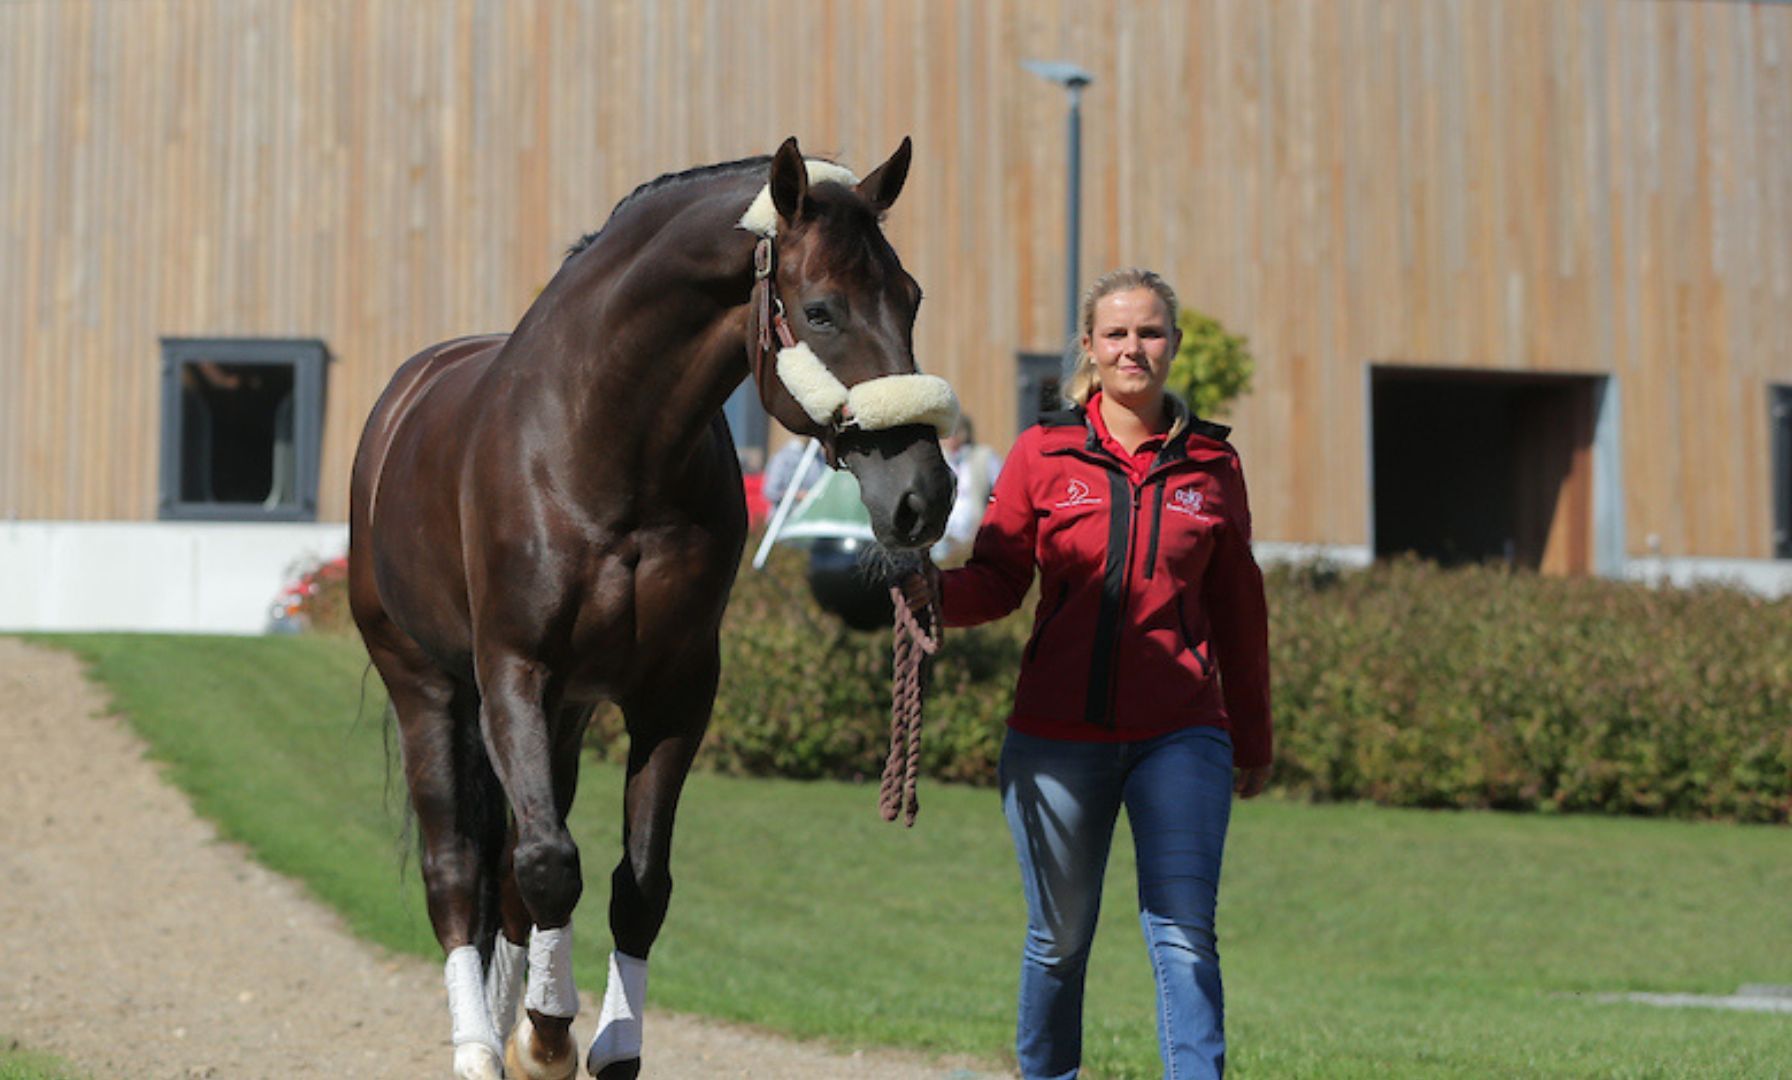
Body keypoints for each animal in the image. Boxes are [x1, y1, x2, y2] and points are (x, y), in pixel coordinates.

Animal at [347, 137, 957, 1080]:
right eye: (821, 311)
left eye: (913, 296)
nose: (924, 496)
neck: (602, 449)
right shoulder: (514, 673)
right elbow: (552, 865)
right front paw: (548, 1033)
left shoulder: (675, 691)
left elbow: (636, 885)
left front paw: (599, 1040)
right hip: (428, 687)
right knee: (457, 868)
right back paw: (482, 1045)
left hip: (562, 717)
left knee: (510, 875)